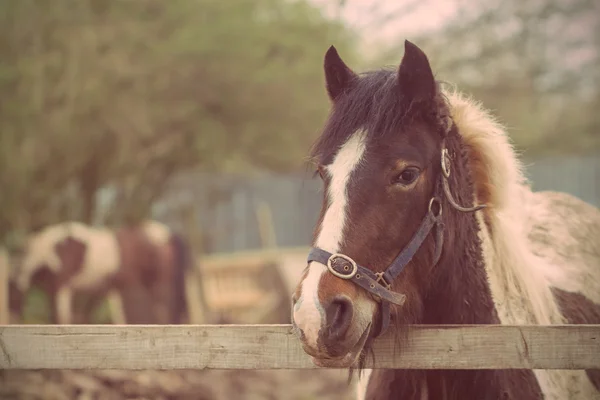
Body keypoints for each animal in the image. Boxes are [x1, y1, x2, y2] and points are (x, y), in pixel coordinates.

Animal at [9, 219, 192, 324]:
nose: (14, 318)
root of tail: (166, 234)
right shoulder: (103, 289)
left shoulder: (61, 287)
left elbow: (62, 318)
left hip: (161, 285)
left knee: (166, 312)